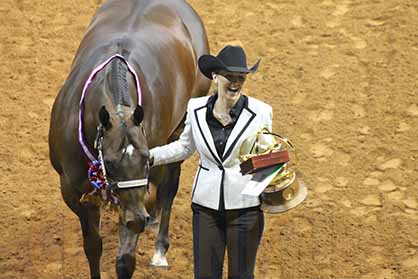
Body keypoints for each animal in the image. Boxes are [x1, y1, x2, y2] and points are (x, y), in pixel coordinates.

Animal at [48, 1, 211, 278]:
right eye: (111, 163)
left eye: (147, 159)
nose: (137, 218)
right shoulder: (73, 192)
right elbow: (93, 246)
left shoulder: (140, 191)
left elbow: (125, 260)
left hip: (180, 132)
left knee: (170, 185)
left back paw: (159, 247)